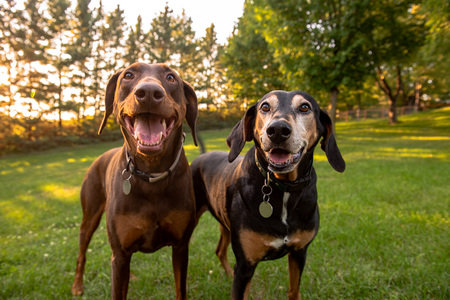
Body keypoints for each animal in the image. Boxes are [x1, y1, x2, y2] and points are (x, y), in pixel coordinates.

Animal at [72, 62, 199, 298]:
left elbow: (181, 289)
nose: (148, 92)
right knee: (81, 254)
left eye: (171, 77)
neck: (152, 174)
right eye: (128, 75)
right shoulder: (120, 252)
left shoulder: (181, 246)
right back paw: (77, 286)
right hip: (89, 217)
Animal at [190, 90, 344, 298]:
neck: (284, 188)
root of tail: (201, 157)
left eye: (305, 107)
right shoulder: (246, 265)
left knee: (220, 250)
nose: (278, 129)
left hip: (226, 223)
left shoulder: (299, 253)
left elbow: (294, 291)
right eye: (265, 106)